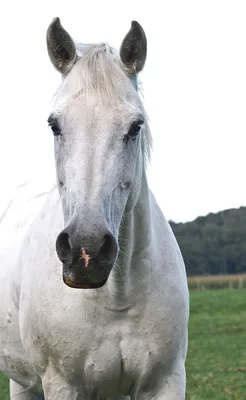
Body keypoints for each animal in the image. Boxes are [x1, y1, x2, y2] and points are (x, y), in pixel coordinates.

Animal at [0, 17, 188, 398]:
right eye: (54, 124)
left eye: (135, 126)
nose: (85, 253)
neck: (116, 297)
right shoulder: (64, 385)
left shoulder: (166, 382)